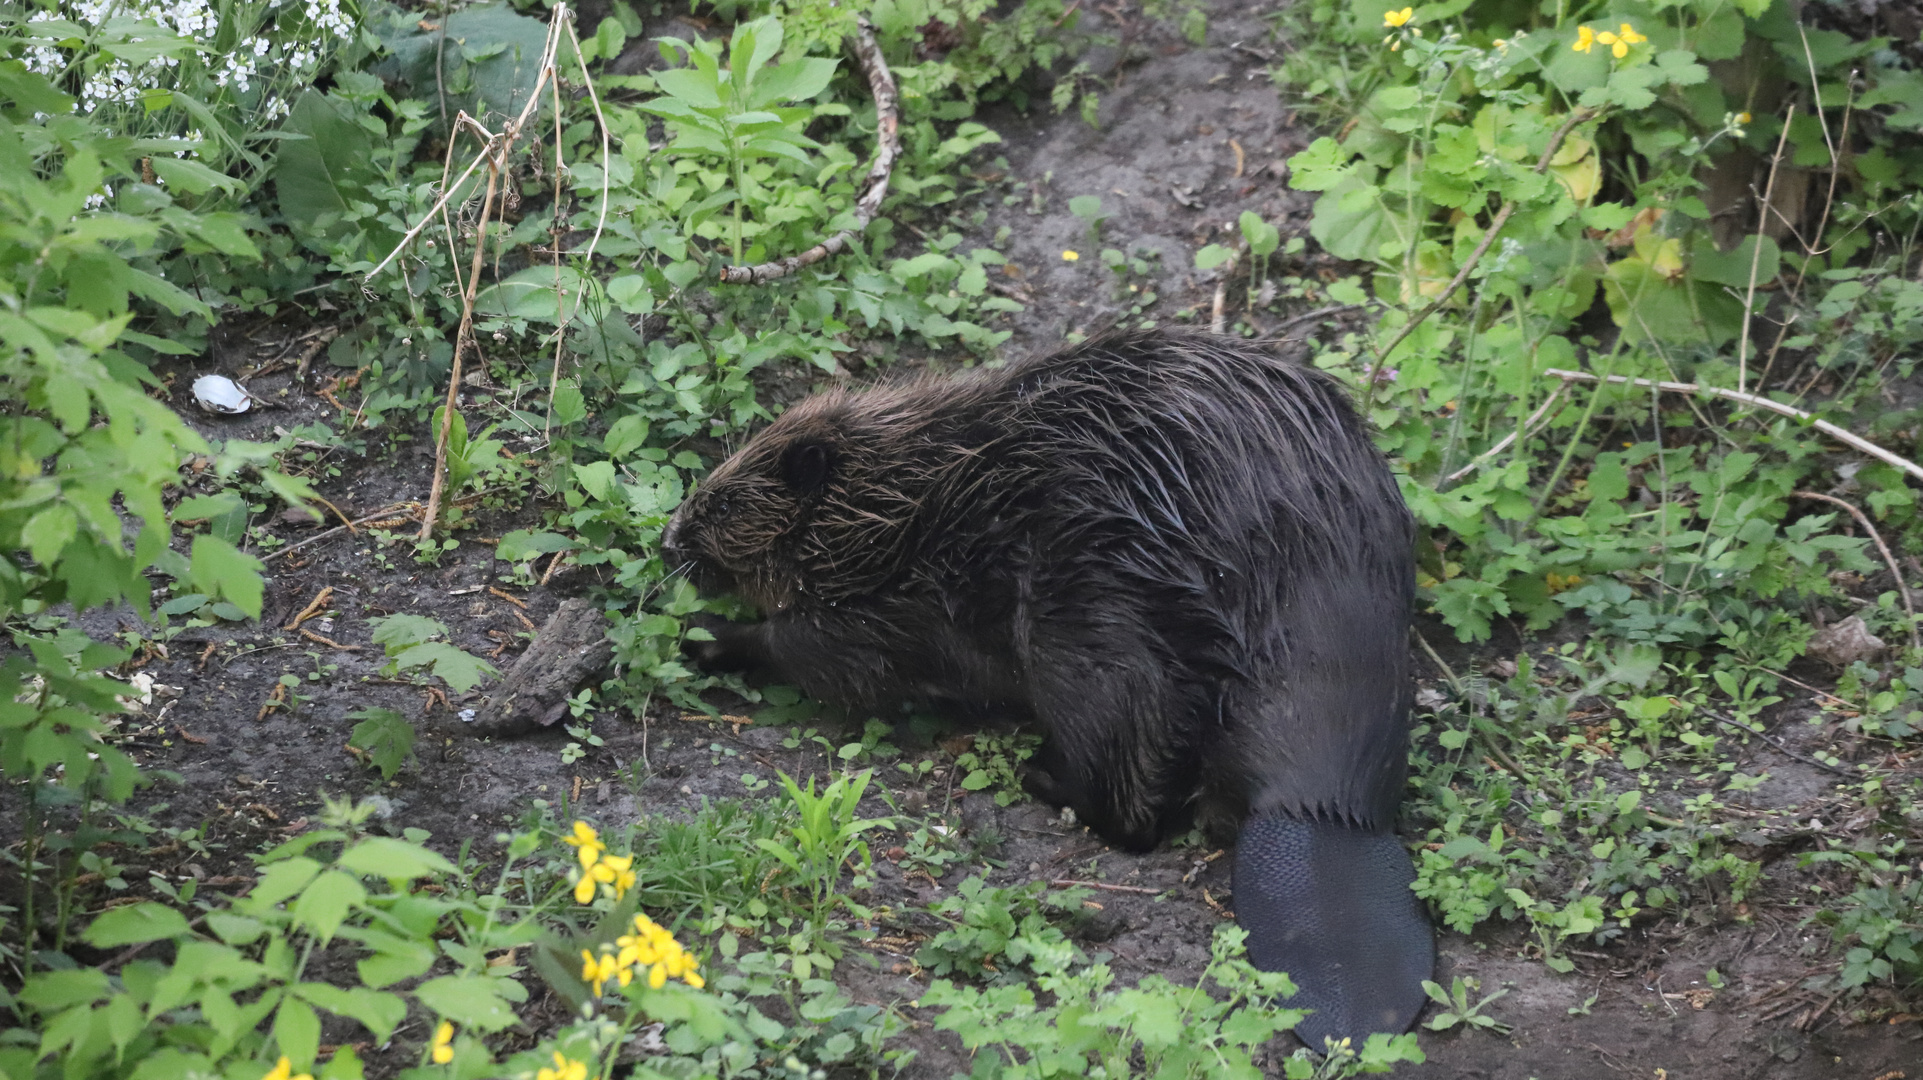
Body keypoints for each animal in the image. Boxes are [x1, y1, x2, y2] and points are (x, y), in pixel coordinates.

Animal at [661, 320, 1430, 1045]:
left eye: (722, 504)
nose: (669, 540)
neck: (910, 492)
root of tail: (1319, 808)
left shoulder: (890, 603)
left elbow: (819, 653)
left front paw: (706, 635)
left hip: (1082, 624)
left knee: (1131, 801)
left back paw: (1039, 778)